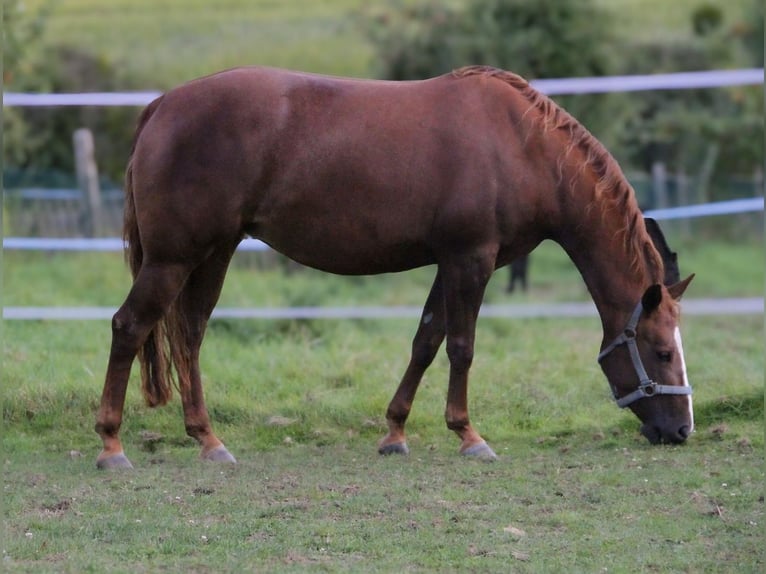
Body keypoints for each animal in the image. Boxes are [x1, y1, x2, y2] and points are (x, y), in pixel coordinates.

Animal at [94, 65, 696, 470]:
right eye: (662, 352)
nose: (683, 430)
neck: (521, 147)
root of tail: (162, 105)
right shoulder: (471, 260)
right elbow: (462, 347)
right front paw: (469, 436)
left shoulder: (450, 263)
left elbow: (426, 342)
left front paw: (395, 432)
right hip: (173, 259)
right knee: (129, 326)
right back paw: (111, 444)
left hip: (212, 253)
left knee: (189, 336)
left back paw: (209, 440)